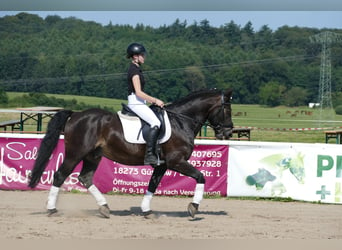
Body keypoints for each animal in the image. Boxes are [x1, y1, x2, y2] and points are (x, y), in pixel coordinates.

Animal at [28, 89, 232, 218]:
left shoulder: (163, 164)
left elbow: (152, 185)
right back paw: (52, 209)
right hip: (75, 154)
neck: (180, 121)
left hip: (93, 156)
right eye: (227, 110)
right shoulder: (176, 161)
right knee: (60, 175)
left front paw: (146, 210)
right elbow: (201, 177)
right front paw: (193, 208)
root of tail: (75, 115)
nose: (228, 133)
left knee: (85, 178)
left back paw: (104, 208)